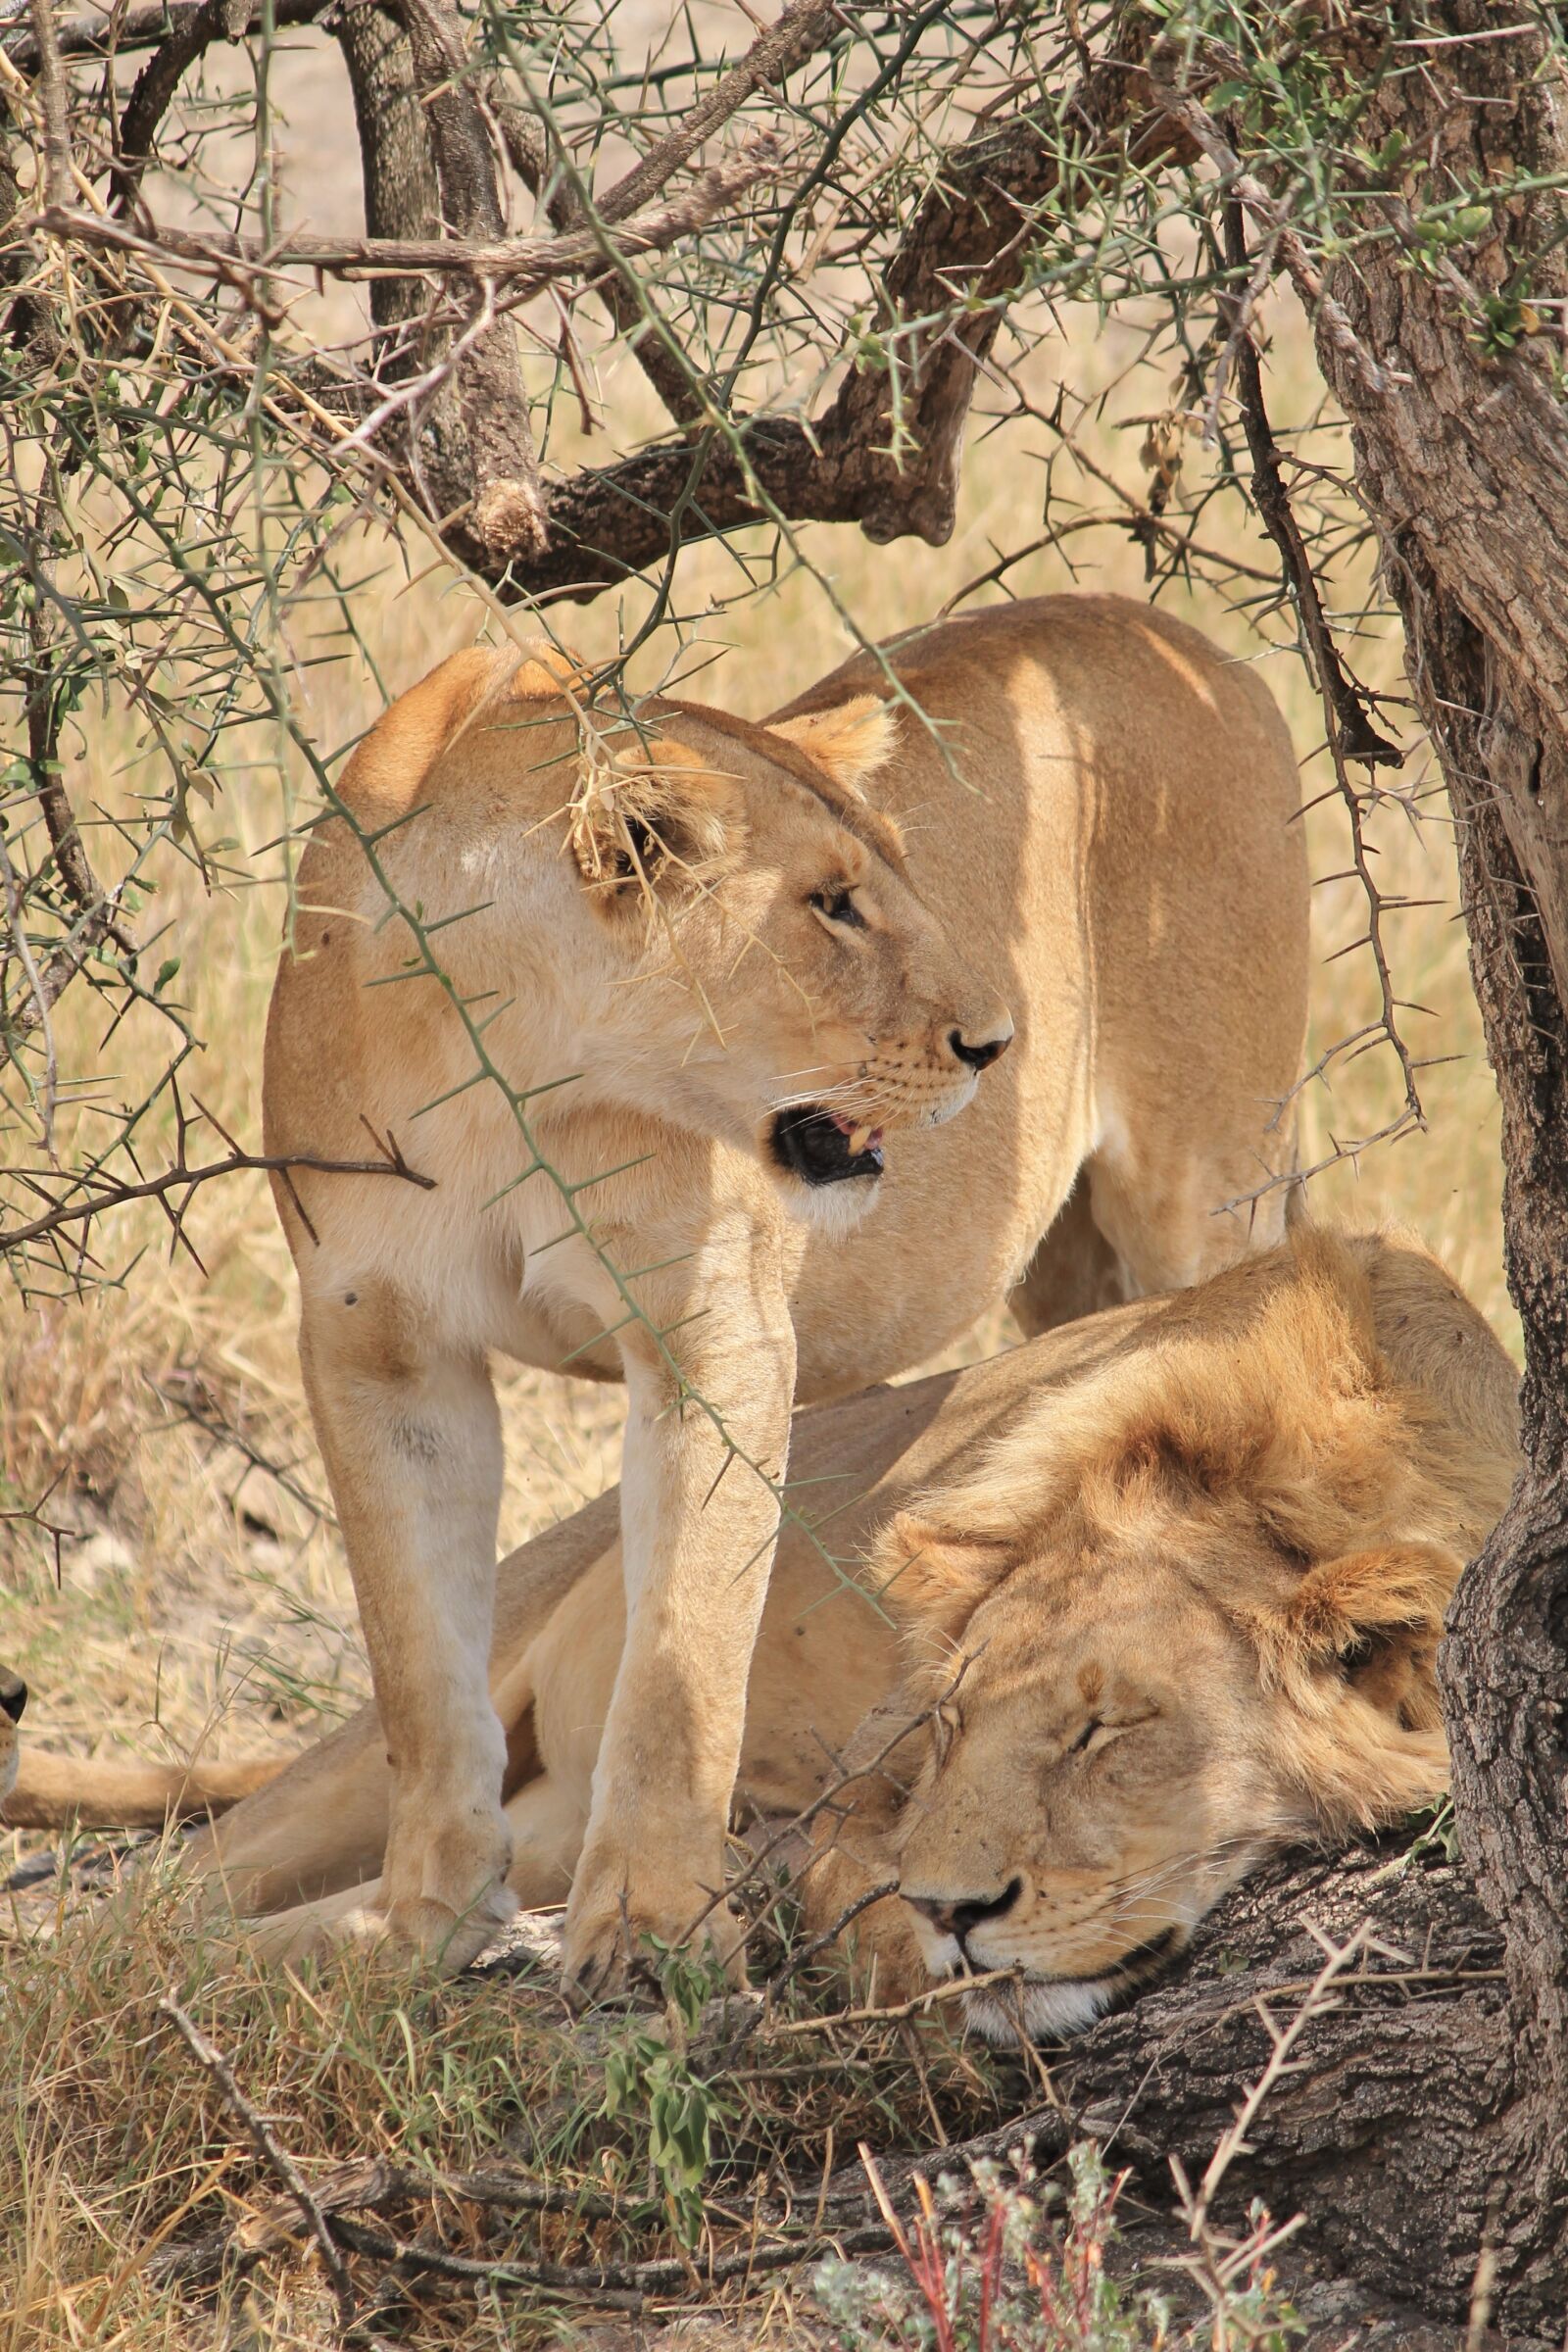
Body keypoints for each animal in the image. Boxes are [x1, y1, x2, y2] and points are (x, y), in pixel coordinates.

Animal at [125, 1225, 1513, 2036]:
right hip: (419, 1713)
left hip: (554, 1828)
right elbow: (852, 1878)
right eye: (951, 1724)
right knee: (159, 1898)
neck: (1263, 1488)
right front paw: (865, 1926)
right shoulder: (862, 1782)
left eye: (1106, 1731)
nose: (960, 1909)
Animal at [259, 592, 1309, 1991]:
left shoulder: (714, 1334)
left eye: (889, 882)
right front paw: (425, 1918)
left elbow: (683, 1651)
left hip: (1201, 1187)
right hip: (1067, 1259)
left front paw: (648, 1924)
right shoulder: (375, 1342)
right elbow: (418, 1663)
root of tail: (1180, 635)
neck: (510, 1070)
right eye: (831, 906)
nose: (996, 1043)